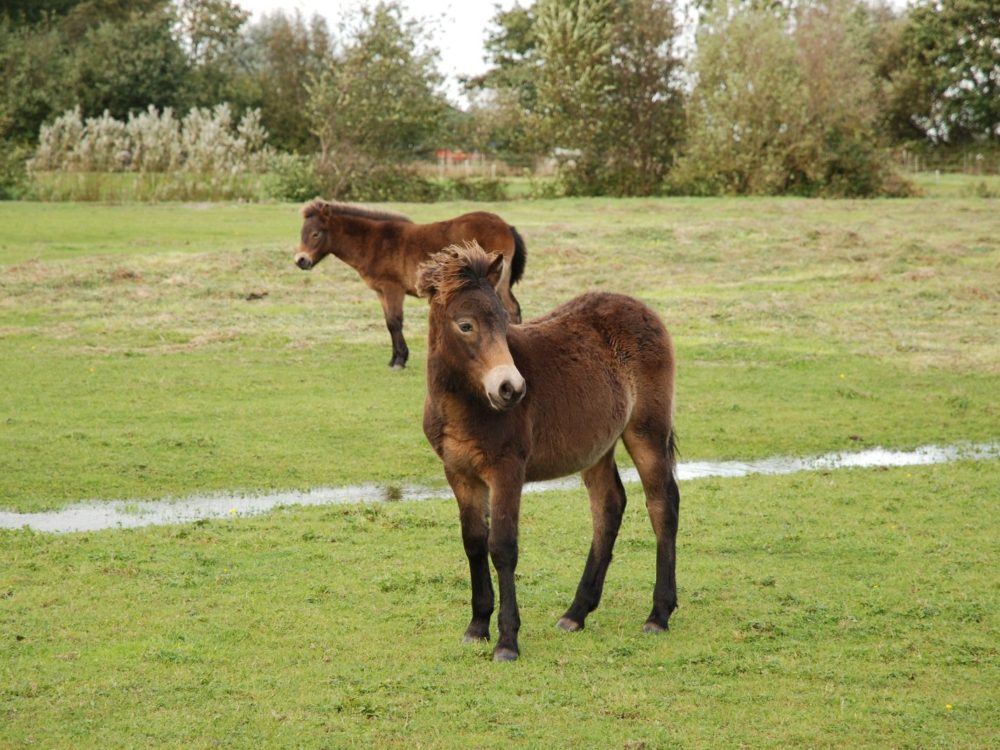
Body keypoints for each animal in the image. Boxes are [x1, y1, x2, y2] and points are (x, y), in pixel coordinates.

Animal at [294, 200, 527, 369]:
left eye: (316, 234)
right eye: (302, 233)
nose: (301, 260)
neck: (375, 242)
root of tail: (506, 226)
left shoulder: (393, 288)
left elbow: (395, 322)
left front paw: (399, 361)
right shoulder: (381, 291)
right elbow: (389, 322)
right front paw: (395, 358)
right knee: (512, 308)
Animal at [418, 242, 680, 662]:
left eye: (503, 321)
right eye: (465, 325)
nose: (510, 388)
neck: (466, 405)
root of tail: (642, 309)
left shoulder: (507, 470)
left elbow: (502, 547)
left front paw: (507, 641)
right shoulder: (458, 473)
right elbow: (474, 543)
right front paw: (477, 626)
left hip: (646, 432)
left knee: (662, 505)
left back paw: (658, 614)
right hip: (597, 447)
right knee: (609, 506)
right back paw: (576, 613)